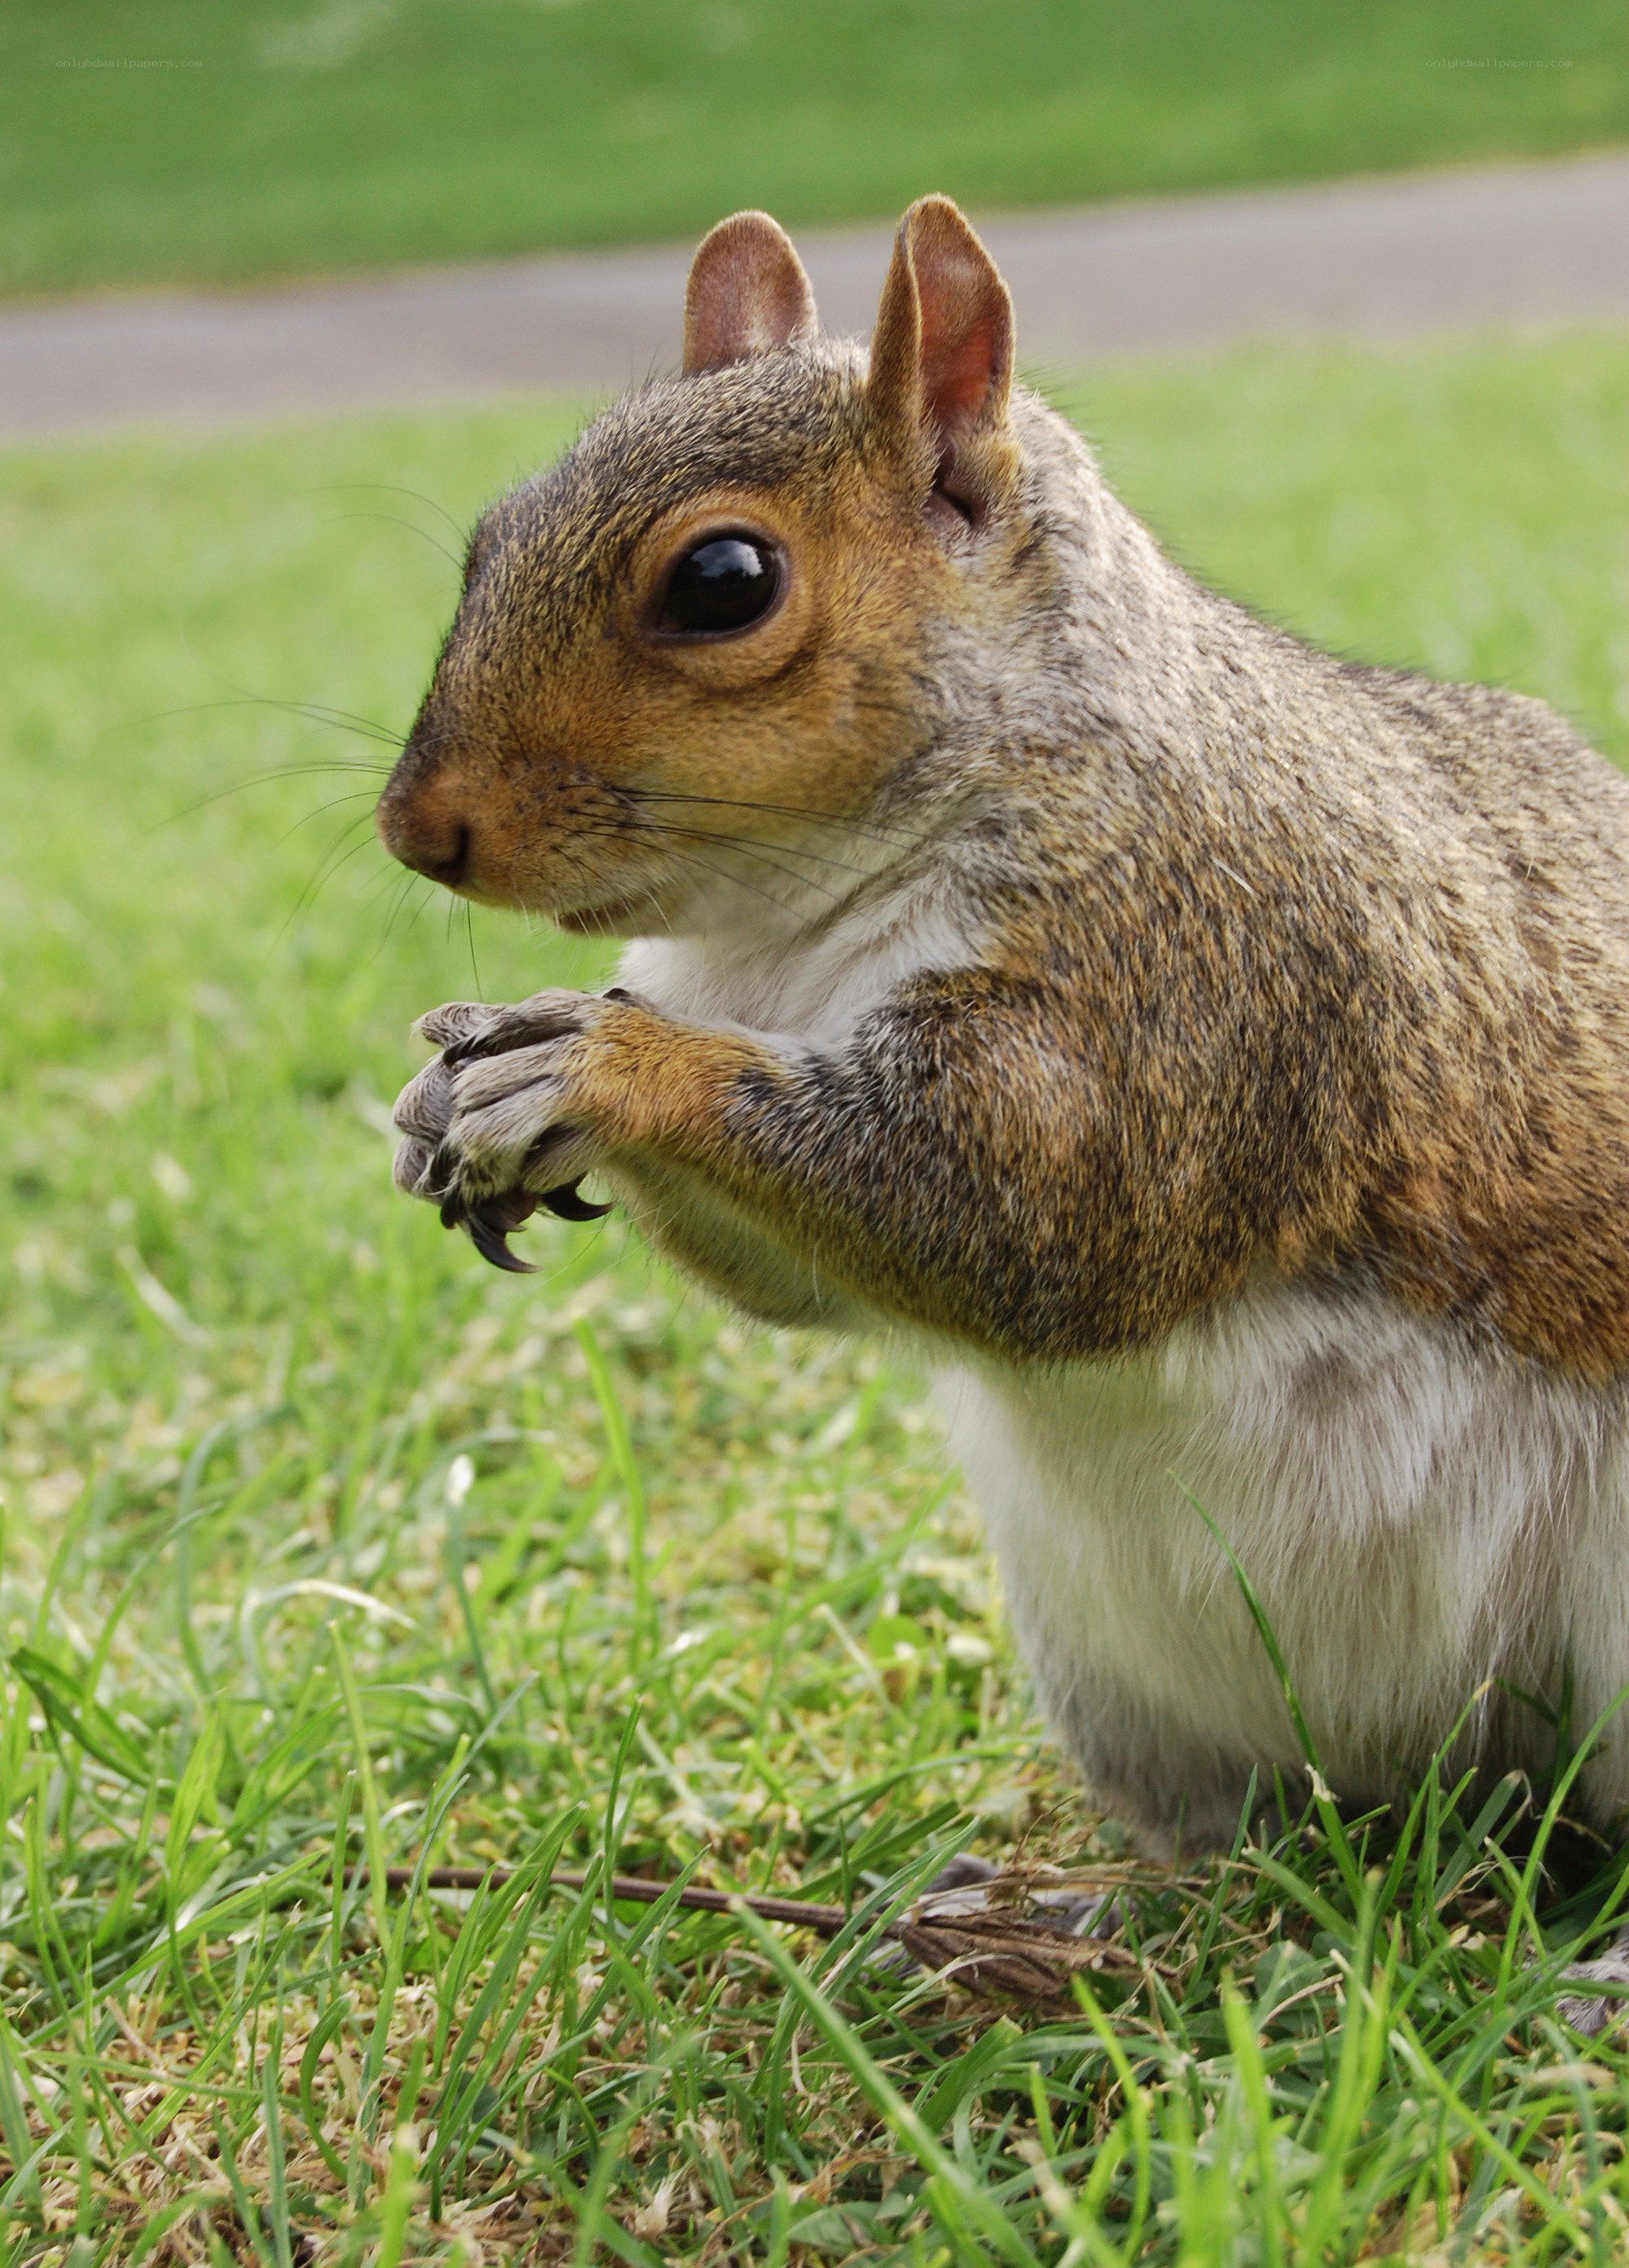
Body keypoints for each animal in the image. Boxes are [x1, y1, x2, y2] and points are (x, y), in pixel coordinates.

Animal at [376, 195, 1629, 1870]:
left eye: (723, 579)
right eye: (491, 536)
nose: (415, 828)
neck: (778, 936)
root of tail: (1471, 1792)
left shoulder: (1193, 983)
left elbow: (1032, 1216)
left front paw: (602, 1061)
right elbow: (803, 1281)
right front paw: (449, 1092)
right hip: (1129, 1690)